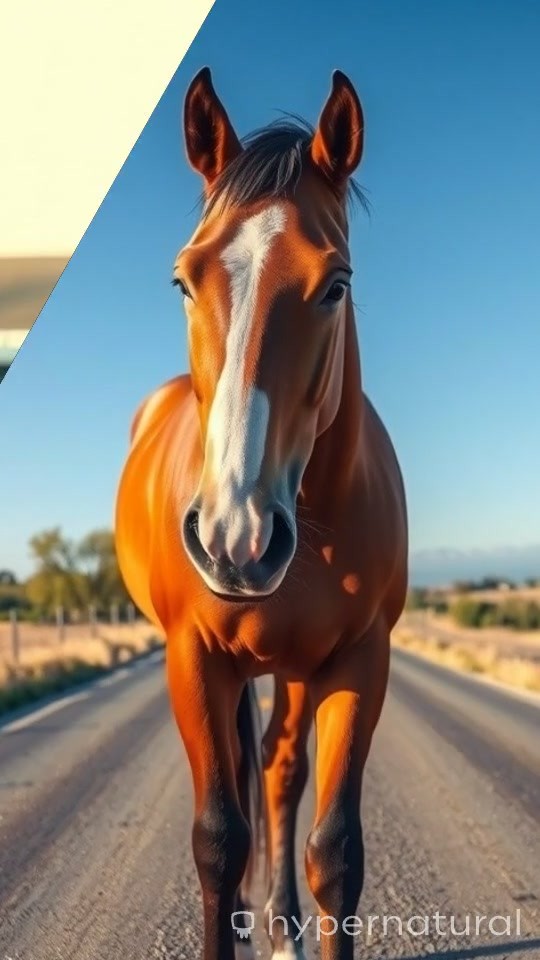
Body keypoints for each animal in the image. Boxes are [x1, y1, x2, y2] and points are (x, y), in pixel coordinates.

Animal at [115, 66, 408, 960]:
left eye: (336, 285)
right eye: (183, 278)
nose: (234, 539)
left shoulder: (358, 660)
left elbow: (334, 851)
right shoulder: (193, 658)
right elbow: (219, 839)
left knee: (278, 771)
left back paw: (278, 924)